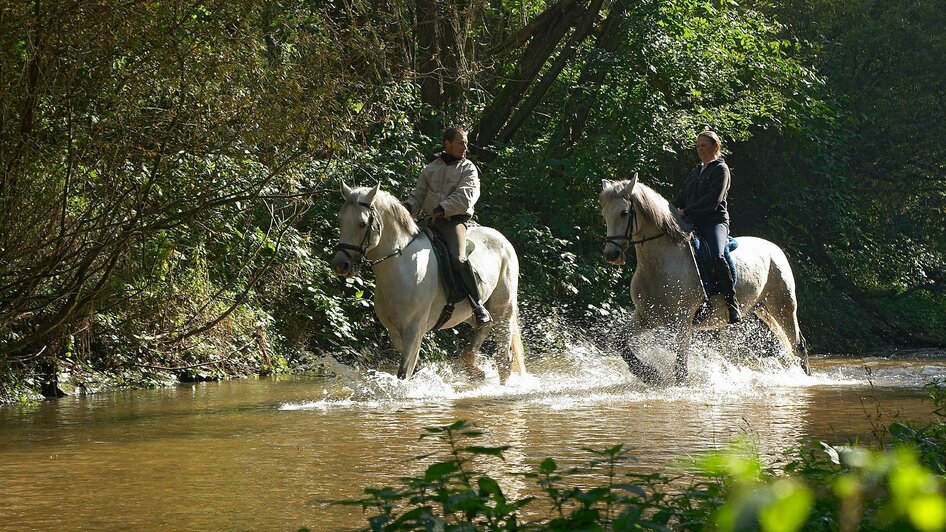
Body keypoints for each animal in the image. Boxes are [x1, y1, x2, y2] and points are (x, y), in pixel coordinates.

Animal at [330, 183, 524, 382]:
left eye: (362, 224)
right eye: (340, 220)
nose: (340, 265)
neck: (400, 266)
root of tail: (503, 239)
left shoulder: (414, 330)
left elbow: (403, 373)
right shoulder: (394, 332)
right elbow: (412, 369)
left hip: (503, 309)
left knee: (503, 357)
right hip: (467, 313)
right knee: (484, 325)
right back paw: (472, 366)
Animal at [596, 177, 804, 384]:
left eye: (624, 213)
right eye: (604, 213)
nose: (611, 254)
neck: (660, 264)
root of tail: (774, 248)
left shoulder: (683, 321)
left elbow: (680, 370)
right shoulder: (646, 317)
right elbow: (619, 342)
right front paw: (648, 373)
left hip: (783, 307)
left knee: (798, 344)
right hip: (757, 310)